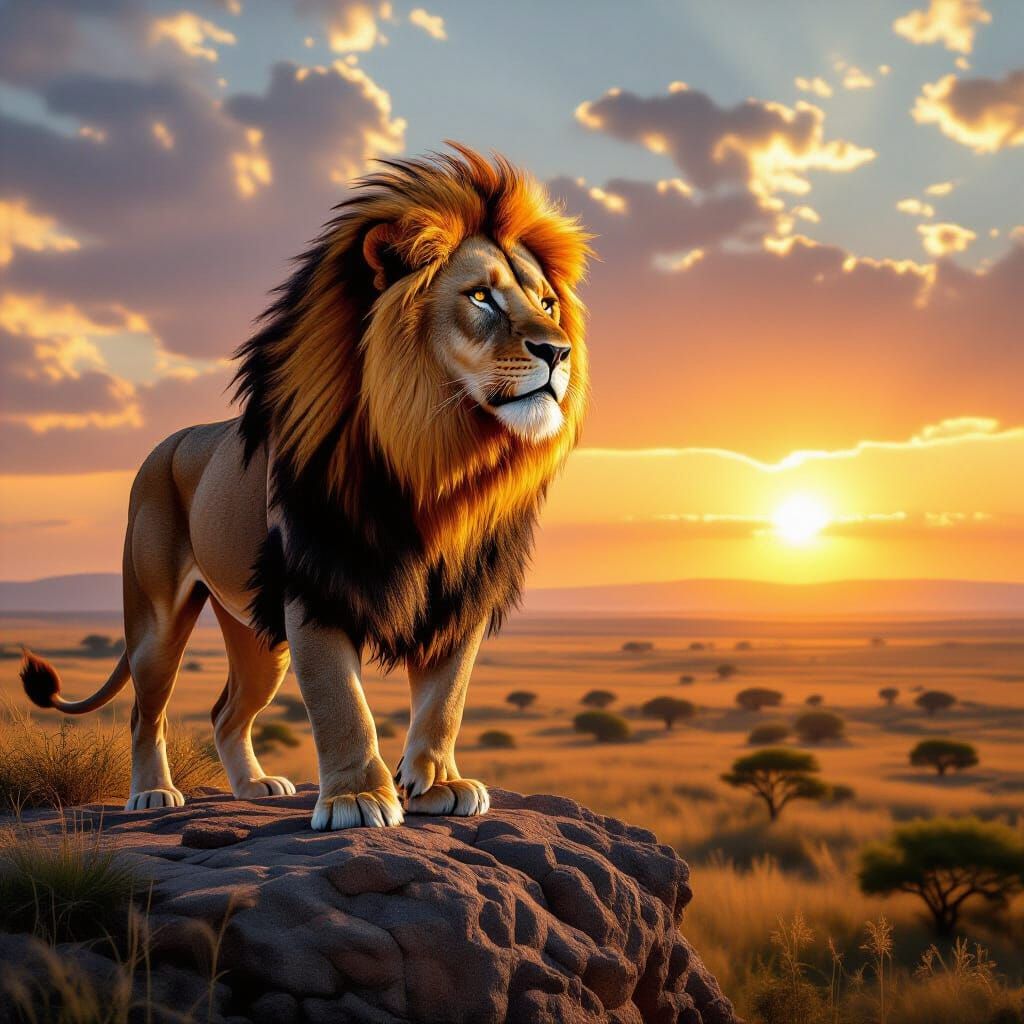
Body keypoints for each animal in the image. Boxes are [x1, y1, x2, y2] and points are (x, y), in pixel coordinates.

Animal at [20, 144, 591, 831]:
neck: (437, 464)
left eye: (548, 304)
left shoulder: (460, 596)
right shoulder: (314, 582)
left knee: (226, 711)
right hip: (156, 620)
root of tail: (168, 443)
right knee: (143, 710)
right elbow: (340, 702)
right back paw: (152, 794)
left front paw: (437, 785)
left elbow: (444, 701)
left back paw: (254, 786)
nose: (558, 351)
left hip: (256, 637)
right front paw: (356, 799)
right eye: (481, 296)